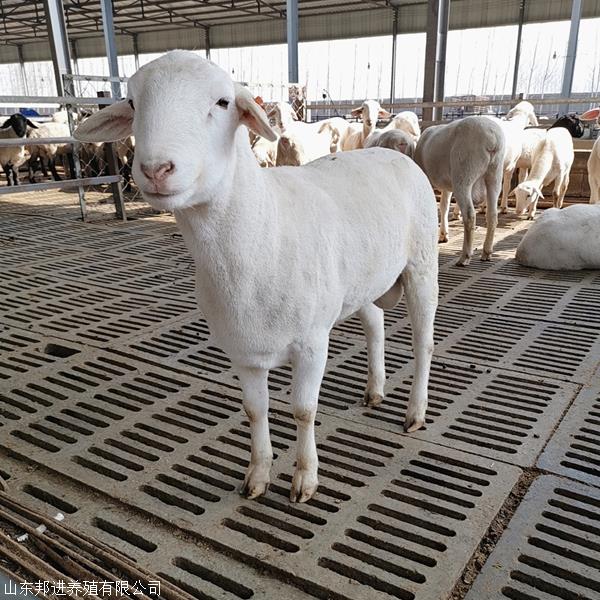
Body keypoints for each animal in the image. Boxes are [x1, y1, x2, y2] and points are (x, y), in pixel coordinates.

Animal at [76, 50, 440, 502]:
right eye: (131, 102)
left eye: (223, 102)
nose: (157, 168)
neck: (264, 230)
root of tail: (390, 152)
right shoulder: (242, 349)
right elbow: (254, 409)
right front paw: (257, 475)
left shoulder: (311, 342)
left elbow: (303, 410)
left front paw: (305, 478)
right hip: (362, 280)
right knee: (374, 322)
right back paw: (374, 390)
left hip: (422, 264)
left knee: (424, 343)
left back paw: (415, 412)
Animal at [418, 116, 506, 264]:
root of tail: (492, 138)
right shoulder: (447, 186)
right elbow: (444, 206)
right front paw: (443, 234)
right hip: (495, 174)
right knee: (492, 214)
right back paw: (486, 252)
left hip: (464, 172)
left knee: (470, 215)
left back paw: (465, 256)